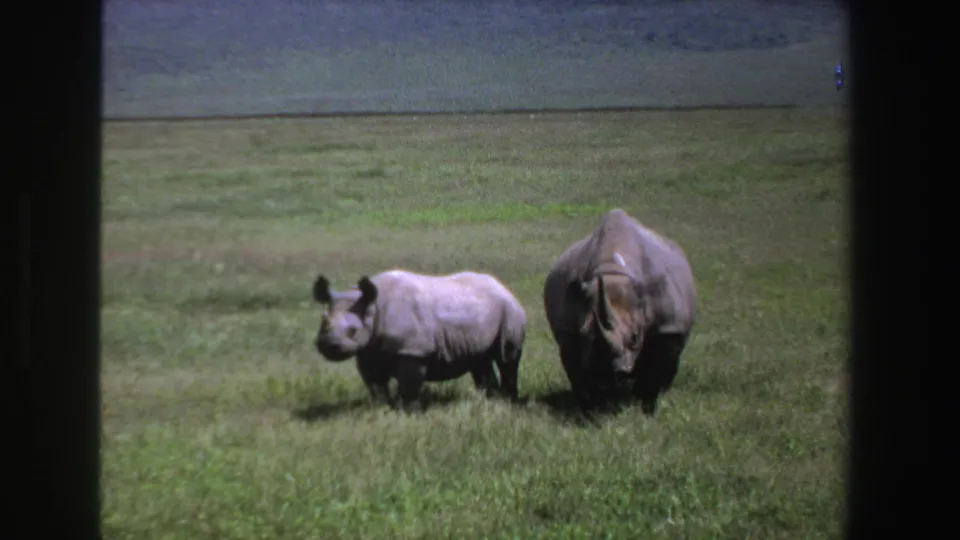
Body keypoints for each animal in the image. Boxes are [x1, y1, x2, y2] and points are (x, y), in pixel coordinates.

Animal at [311, 269, 527, 410]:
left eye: (353, 331)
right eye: (322, 322)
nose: (328, 345)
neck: (373, 308)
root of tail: (504, 287)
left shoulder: (412, 350)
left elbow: (409, 385)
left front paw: (408, 412)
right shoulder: (368, 351)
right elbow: (375, 385)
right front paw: (382, 409)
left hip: (510, 310)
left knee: (506, 358)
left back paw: (509, 401)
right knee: (480, 360)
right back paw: (490, 400)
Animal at [542, 208, 697, 415]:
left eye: (635, 337)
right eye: (584, 334)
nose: (605, 370)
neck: (613, 274)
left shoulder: (669, 327)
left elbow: (656, 370)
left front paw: (646, 408)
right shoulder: (567, 329)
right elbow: (578, 374)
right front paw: (592, 410)